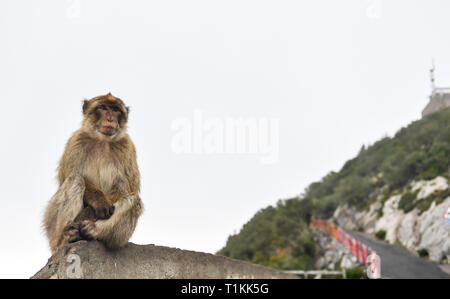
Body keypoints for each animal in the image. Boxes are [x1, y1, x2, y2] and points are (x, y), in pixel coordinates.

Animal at [43, 92, 143, 254]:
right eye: (103, 108)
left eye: (116, 110)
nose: (110, 119)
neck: (102, 141)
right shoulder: (76, 142)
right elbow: (69, 175)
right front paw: (99, 201)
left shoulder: (126, 148)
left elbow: (124, 190)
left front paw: (89, 213)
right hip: (51, 228)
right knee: (75, 179)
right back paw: (66, 237)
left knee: (134, 200)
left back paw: (92, 230)